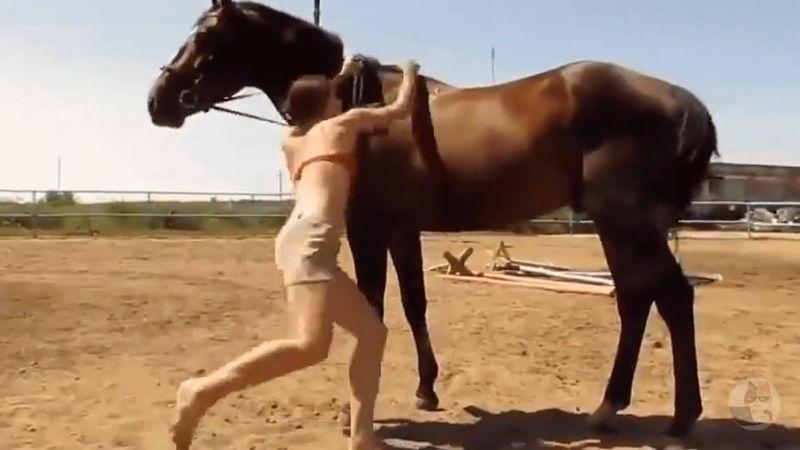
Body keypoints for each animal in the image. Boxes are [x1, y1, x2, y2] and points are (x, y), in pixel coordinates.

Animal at [147, 0, 718, 438]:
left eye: (205, 35)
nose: (159, 102)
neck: (352, 101)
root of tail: (684, 102)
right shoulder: (402, 230)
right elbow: (413, 303)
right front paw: (426, 389)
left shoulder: (369, 229)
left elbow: (376, 305)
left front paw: (359, 411)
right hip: (619, 227)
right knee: (638, 300)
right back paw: (614, 409)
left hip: (623, 222)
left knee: (669, 298)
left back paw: (675, 416)